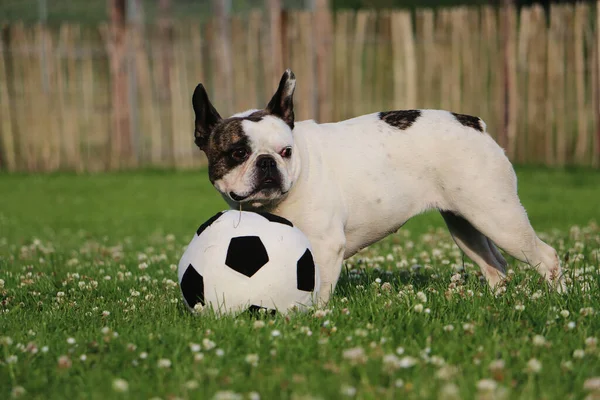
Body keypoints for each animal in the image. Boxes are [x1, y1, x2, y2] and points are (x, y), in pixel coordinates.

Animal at [190, 69, 564, 302]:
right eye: (238, 153)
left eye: (286, 152)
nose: (268, 162)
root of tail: (473, 123)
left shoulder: (324, 247)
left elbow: (316, 288)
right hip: (467, 224)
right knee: (494, 266)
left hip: (498, 218)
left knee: (546, 257)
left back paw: (556, 300)